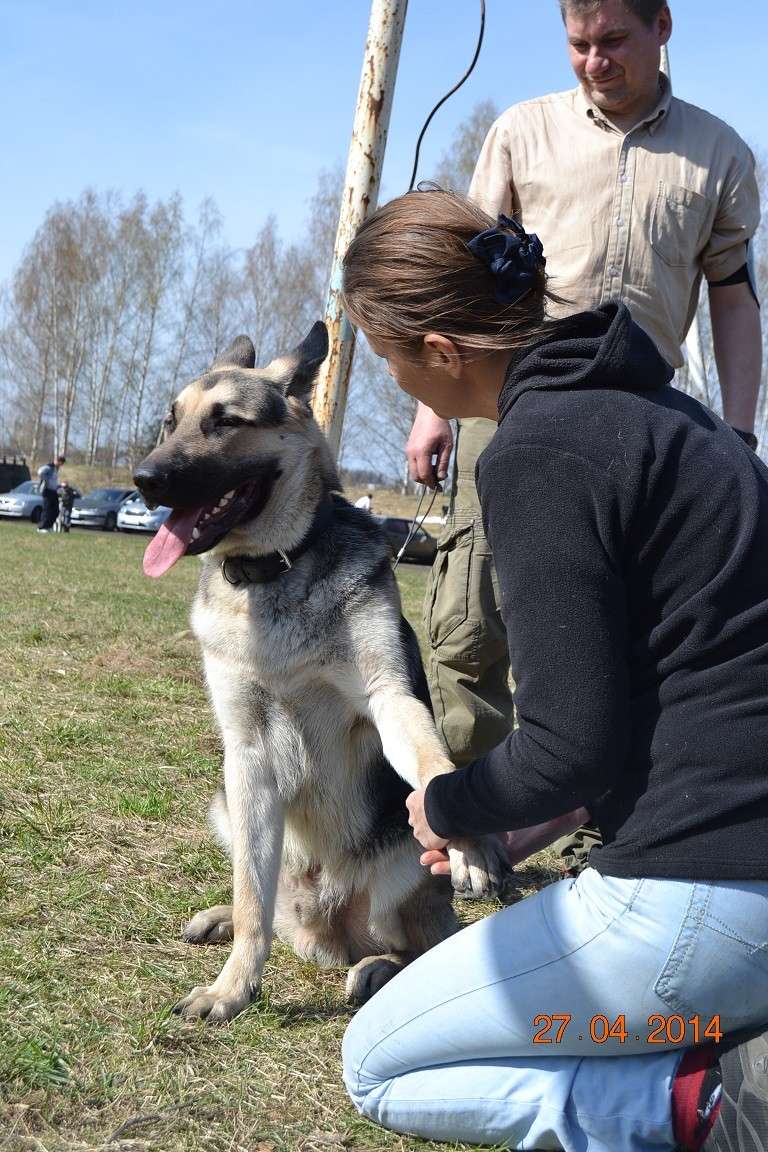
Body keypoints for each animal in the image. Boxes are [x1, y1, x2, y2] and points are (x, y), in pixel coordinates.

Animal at [135, 324, 513, 1027]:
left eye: (225, 422)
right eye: (171, 422)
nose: (144, 479)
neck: (274, 570)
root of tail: (326, 926)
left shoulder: (389, 699)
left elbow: (432, 766)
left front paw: (471, 844)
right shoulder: (246, 754)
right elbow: (252, 902)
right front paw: (232, 988)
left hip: (402, 875)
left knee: (416, 950)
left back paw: (371, 970)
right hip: (229, 806)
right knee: (267, 910)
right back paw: (225, 920)